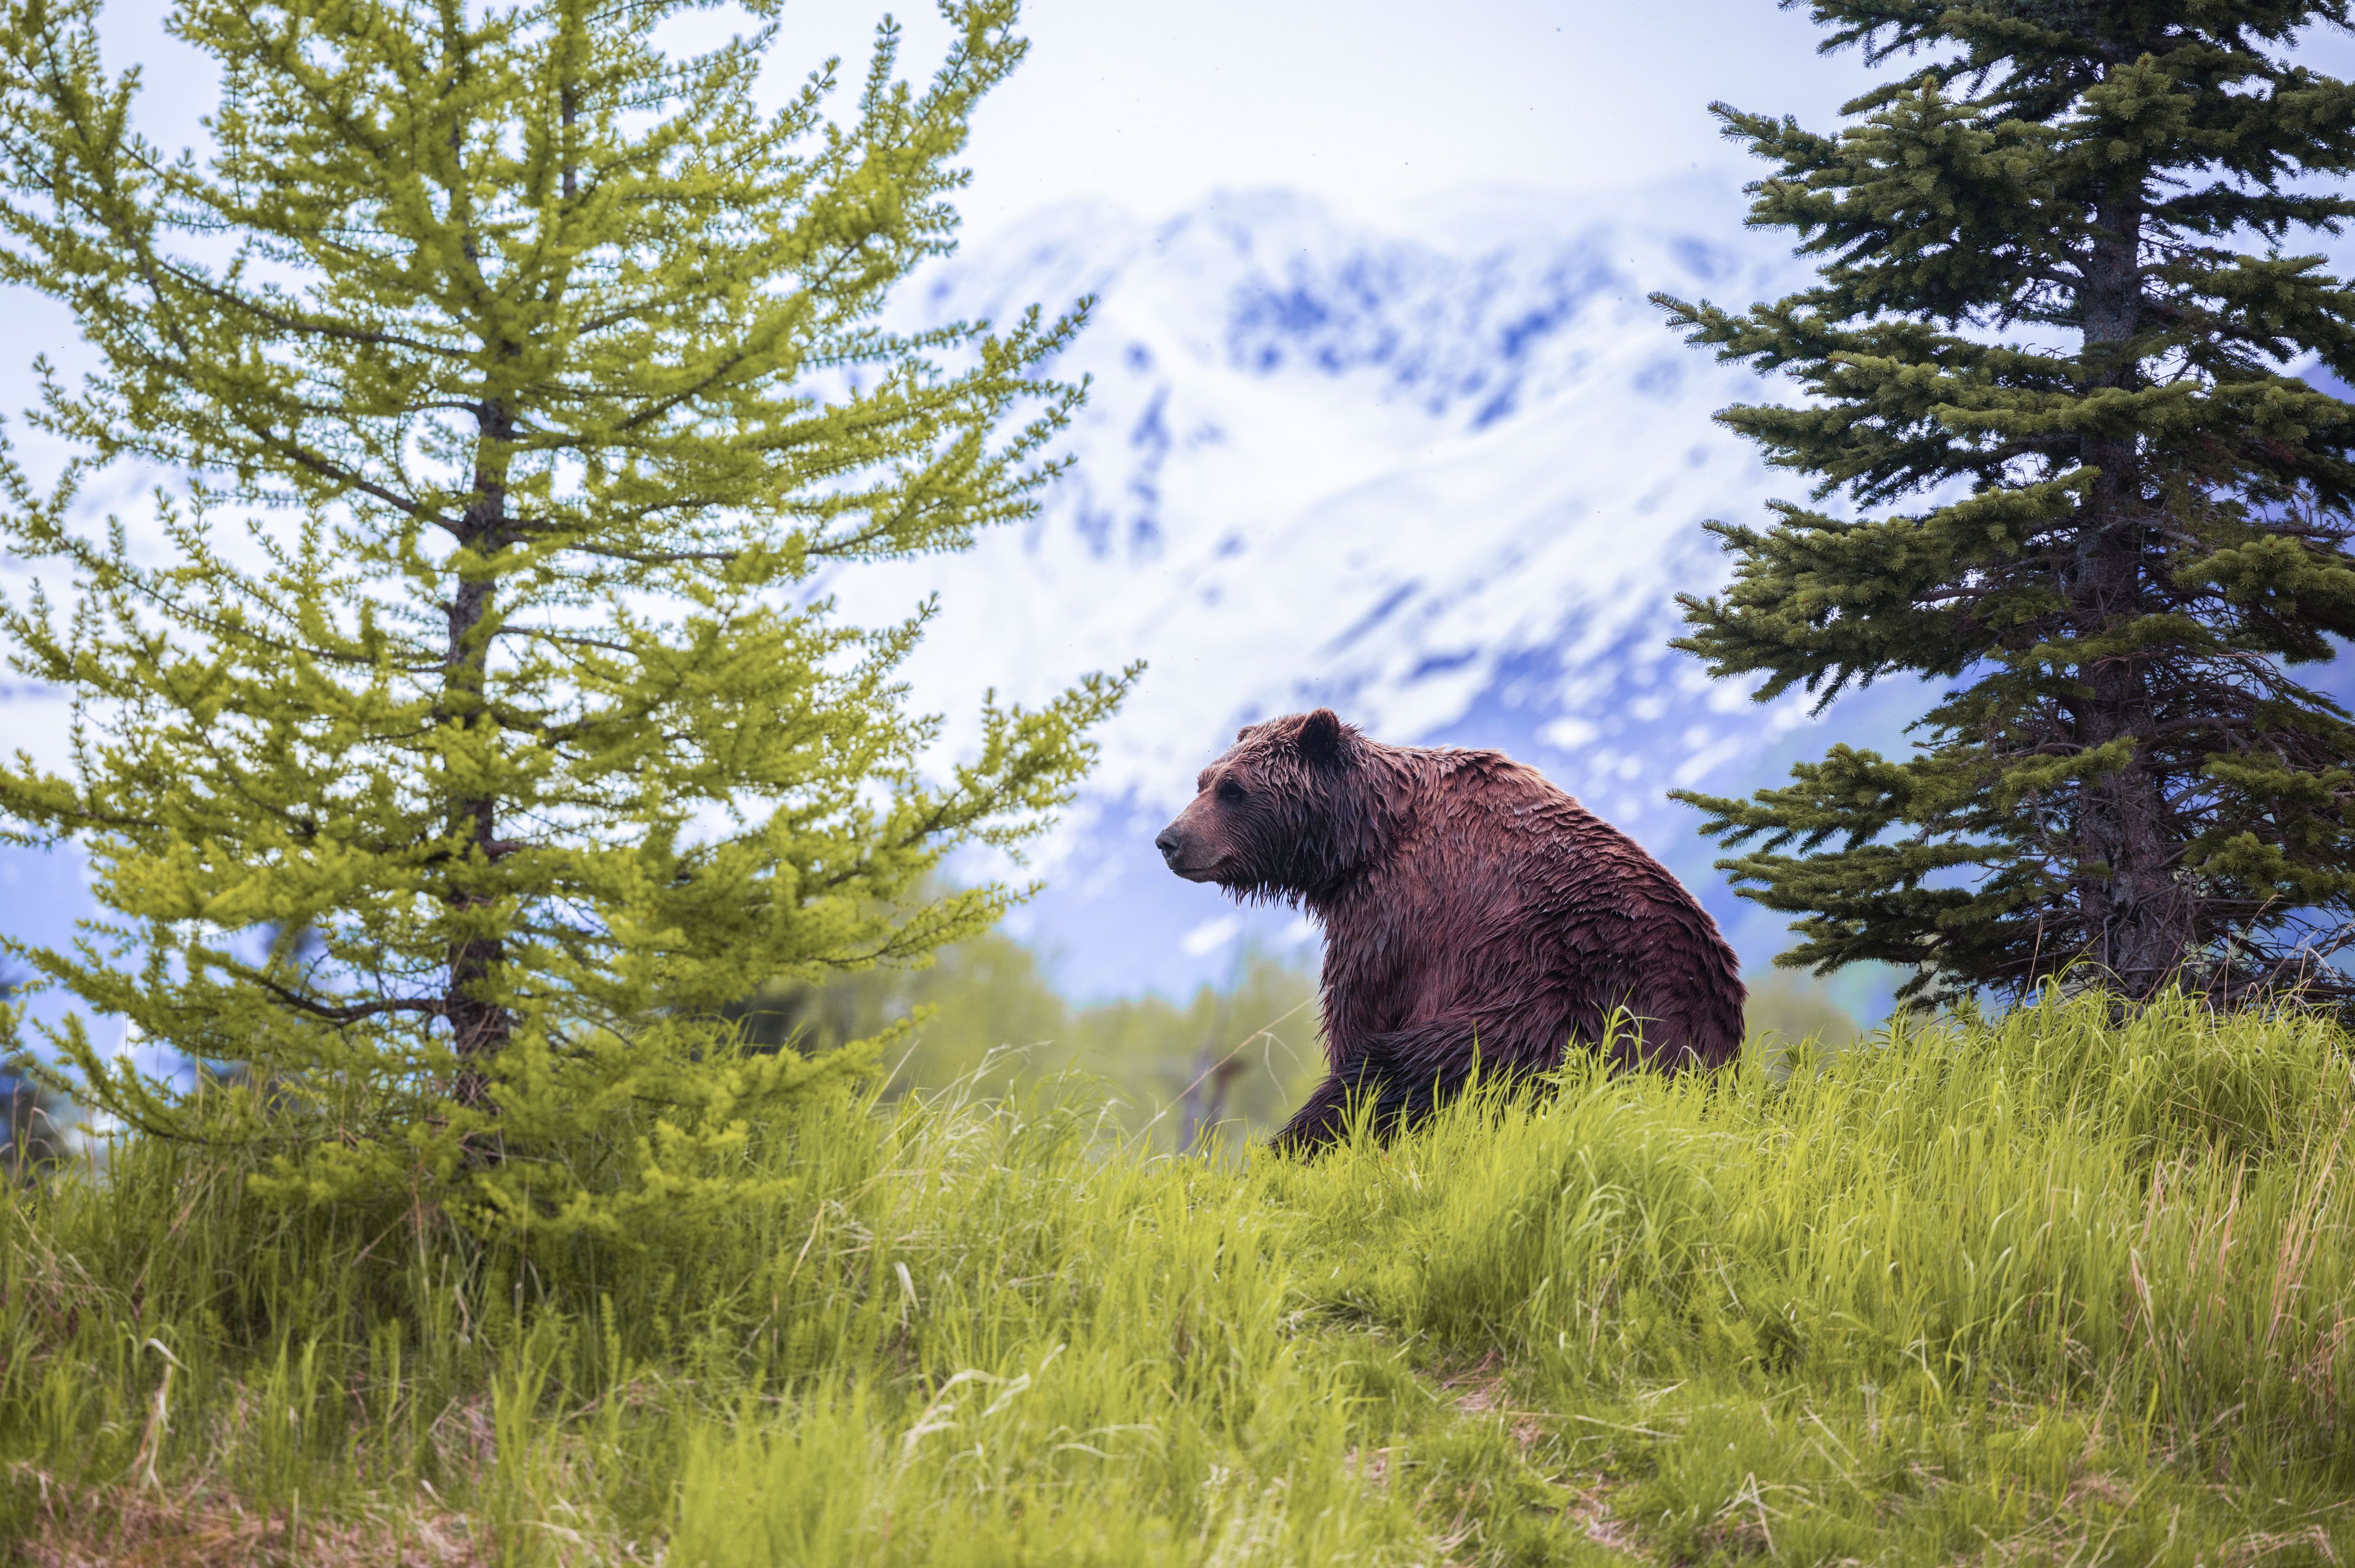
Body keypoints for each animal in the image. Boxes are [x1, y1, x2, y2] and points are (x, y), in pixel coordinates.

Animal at [1153, 708, 1746, 1151]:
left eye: (1233, 789)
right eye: (1203, 781)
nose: (1169, 840)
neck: (1360, 844)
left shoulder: (1401, 917)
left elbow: (1361, 1015)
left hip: (1559, 1003)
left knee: (1403, 1070)